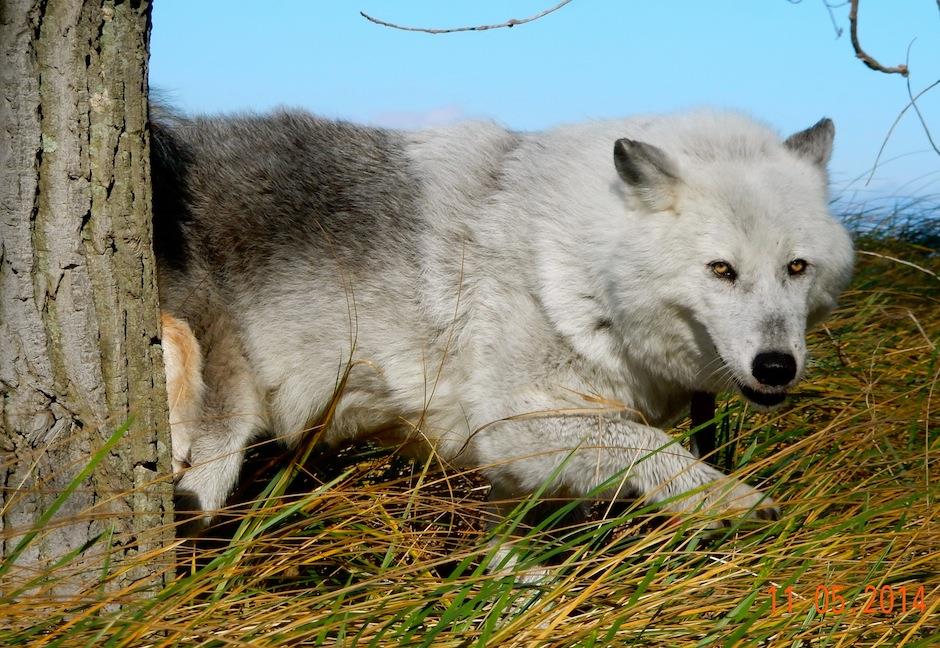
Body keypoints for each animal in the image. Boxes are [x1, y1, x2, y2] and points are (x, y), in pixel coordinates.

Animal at [152, 108, 854, 536]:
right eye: (721, 270)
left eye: (796, 267)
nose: (777, 367)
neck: (569, 264)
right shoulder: (514, 422)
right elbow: (651, 445)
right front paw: (738, 502)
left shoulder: (515, 475)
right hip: (213, 433)